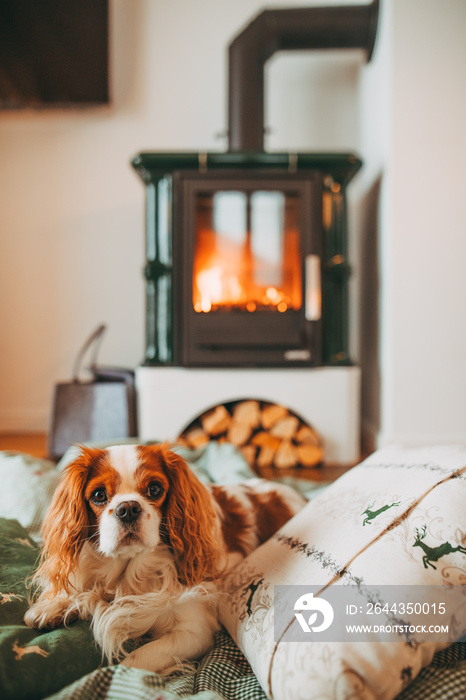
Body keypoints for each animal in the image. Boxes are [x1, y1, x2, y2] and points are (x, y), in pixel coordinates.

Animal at [24, 442, 306, 672]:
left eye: (154, 488)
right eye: (99, 495)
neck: (129, 572)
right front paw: (54, 605)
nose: (128, 508)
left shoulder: (193, 632)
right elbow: (80, 590)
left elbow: (136, 660)